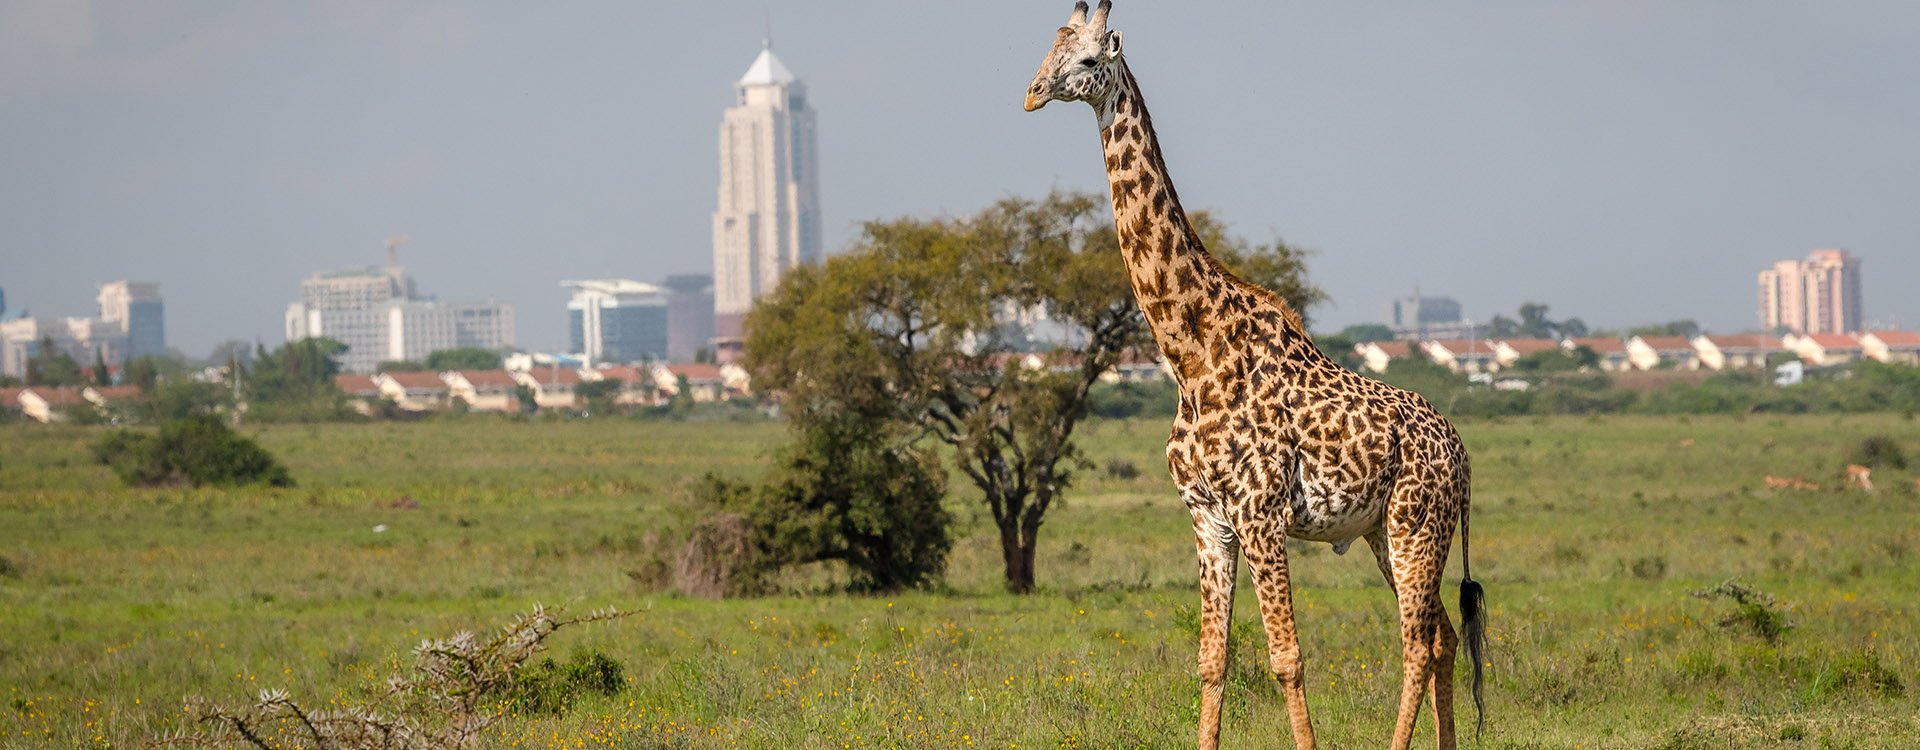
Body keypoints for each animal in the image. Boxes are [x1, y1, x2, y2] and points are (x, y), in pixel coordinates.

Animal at [1021, 2, 1482, 748]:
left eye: (1087, 60)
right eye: (1047, 48)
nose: (1032, 93)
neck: (1192, 354)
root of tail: (1463, 455)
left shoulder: (1260, 513)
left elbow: (1286, 658)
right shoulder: (1208, 517)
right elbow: (1212, 659)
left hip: (1417, 523)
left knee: (1417, 640)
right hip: (1387, 531)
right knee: (1441, 636)